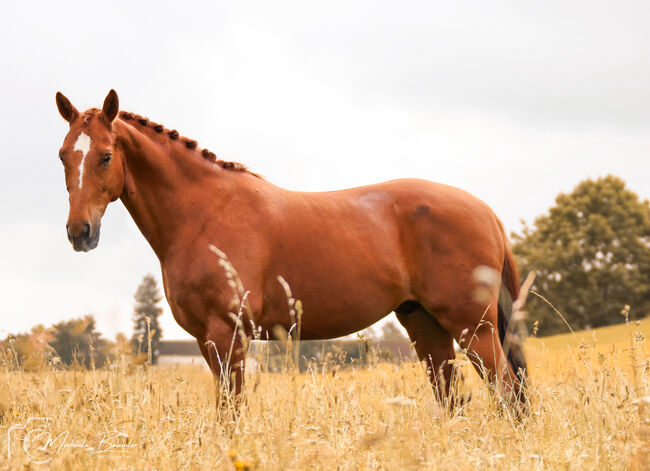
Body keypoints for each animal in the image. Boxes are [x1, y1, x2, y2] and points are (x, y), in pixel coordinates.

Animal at [53, 91, 524, 406]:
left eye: (106, 156)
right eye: (62, 155)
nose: (80, 232)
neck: (204, 212)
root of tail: (485, 211)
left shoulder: (228, 335)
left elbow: (231, 410)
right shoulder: (206, 341)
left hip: (474, 328)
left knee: (507, 392)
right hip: (425, 325)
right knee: (453, 397)